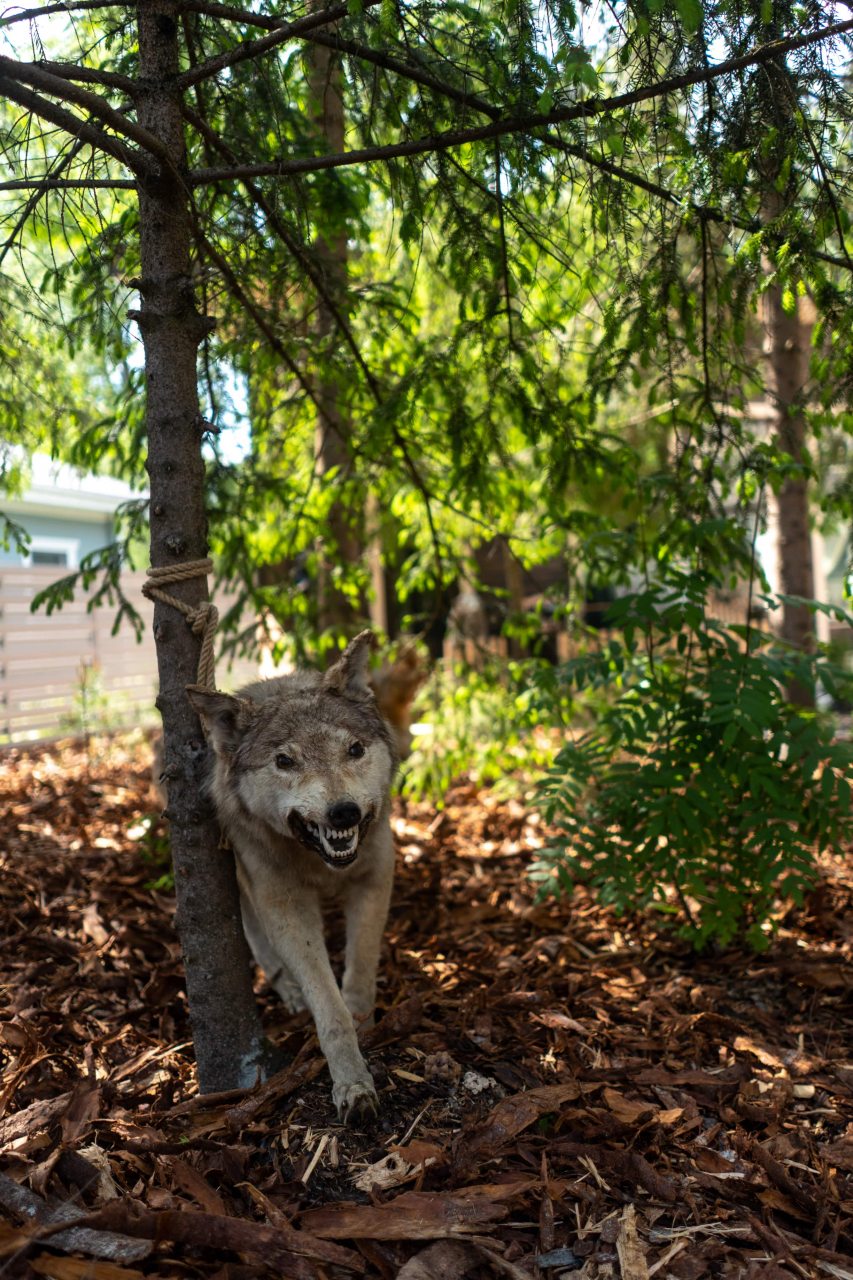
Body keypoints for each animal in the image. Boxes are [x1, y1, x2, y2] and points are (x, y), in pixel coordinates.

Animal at [186, 632, 399, 1121]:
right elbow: (328, 1006)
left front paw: (364, 1022)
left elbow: (359, 972)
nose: (344, 812)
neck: (319, 862)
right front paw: (352, 1084)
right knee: (252, 932)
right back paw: (288, 988)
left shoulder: (375, 878)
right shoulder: (284, 905)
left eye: (354, 750)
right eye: (285, 761)